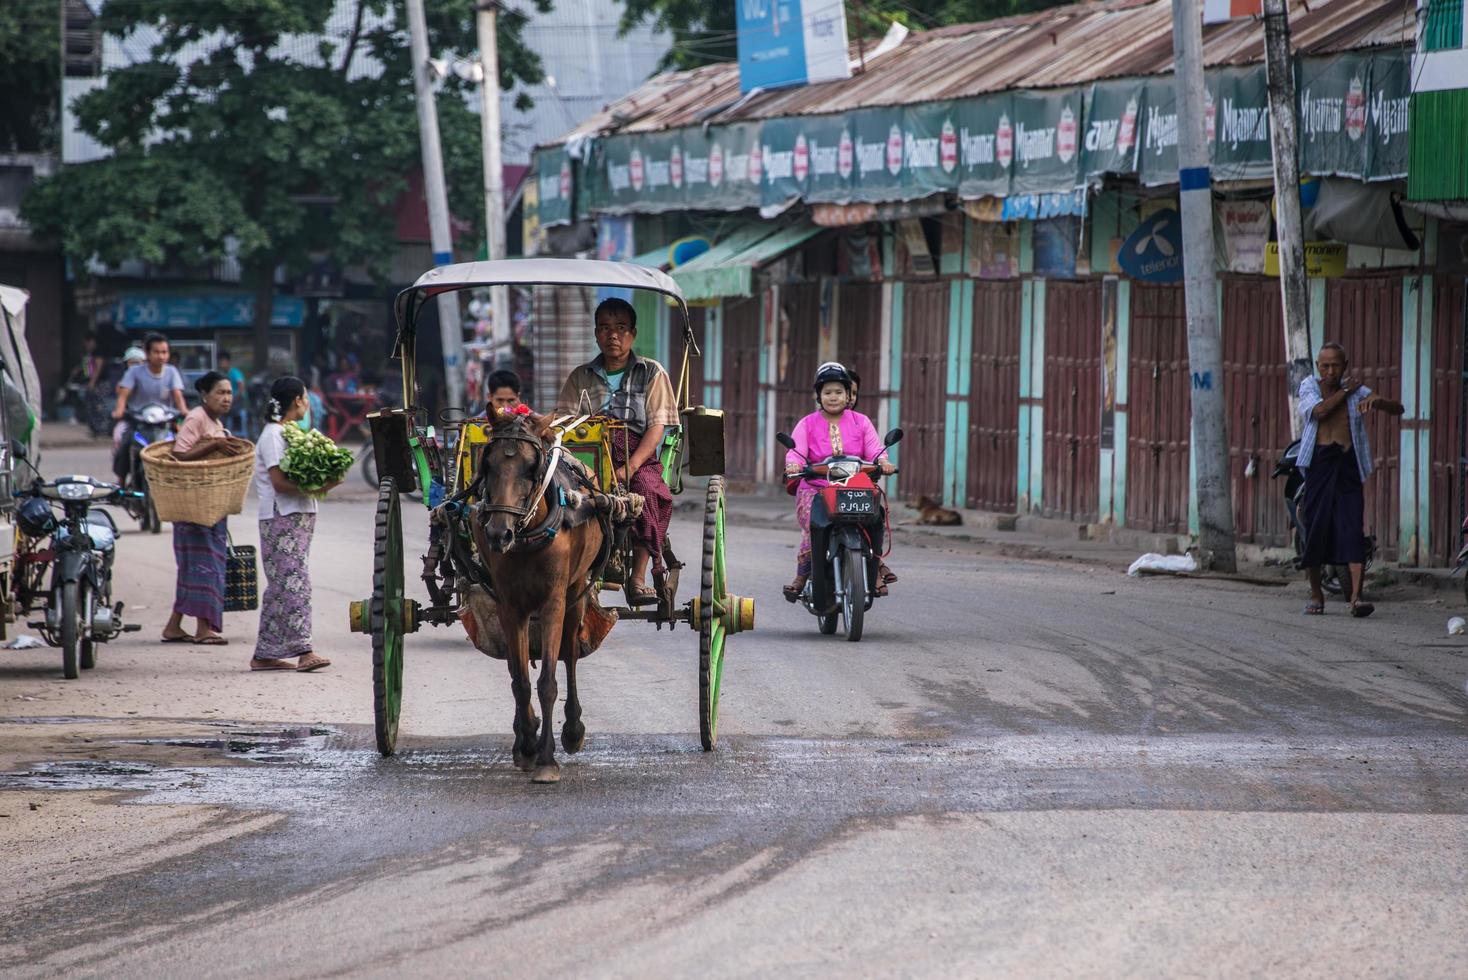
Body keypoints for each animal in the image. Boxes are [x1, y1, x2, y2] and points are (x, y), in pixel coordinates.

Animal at [472, 410, 604, 780]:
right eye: (487, 465)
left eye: (532, 468)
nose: (498, 534)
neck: (528, 534)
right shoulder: (508, 605)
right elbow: (519, 680)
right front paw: (528, 745)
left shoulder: (553, 602)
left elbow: (547, 681)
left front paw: (546, 760)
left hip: (576, 591)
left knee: (570, 654)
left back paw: (572, 729)